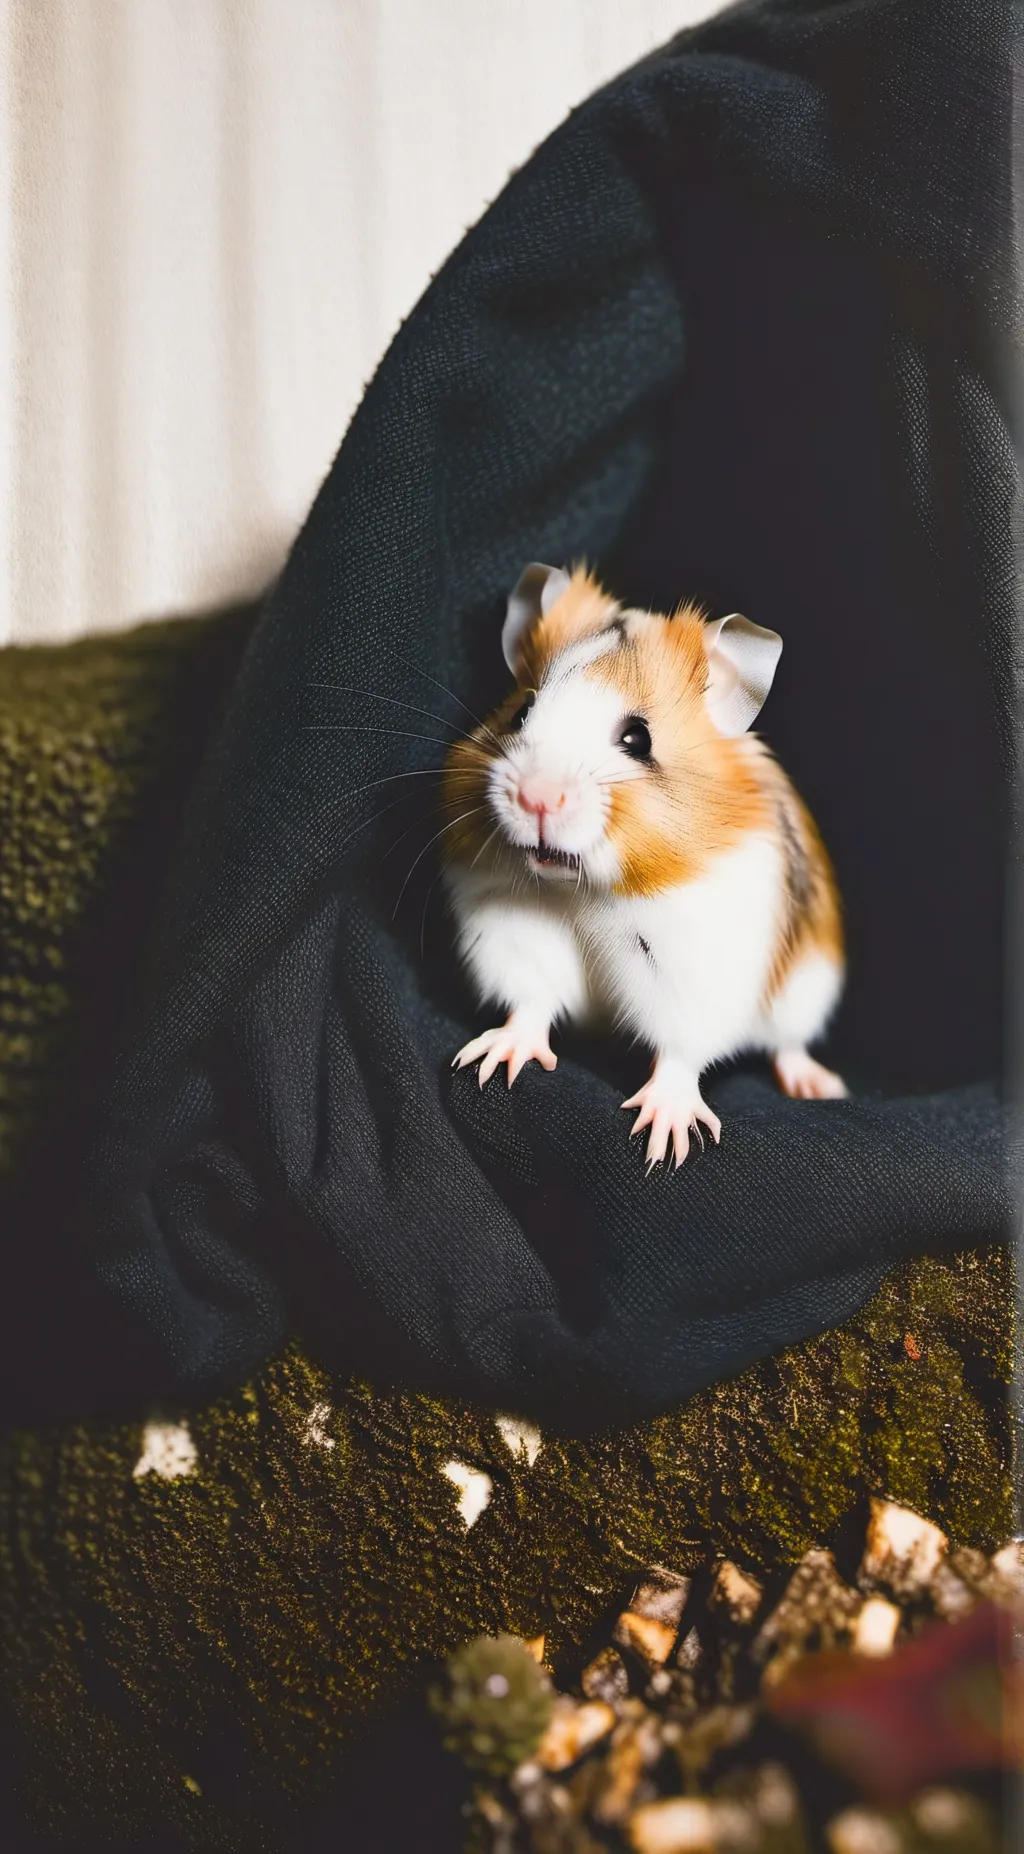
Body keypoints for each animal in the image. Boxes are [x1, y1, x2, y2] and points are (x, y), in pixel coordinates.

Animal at [442, 563, 846, 1169]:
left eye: (638, 738)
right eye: (521, 712)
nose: (537, 799)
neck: (581, 890)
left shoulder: (693, 973)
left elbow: (679, 1052)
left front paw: (661, 1142)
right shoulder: (517, 934)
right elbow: (531, 1005)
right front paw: (492, 1063)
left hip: (805, 989)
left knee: (789, 1044)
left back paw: (818, 1086)